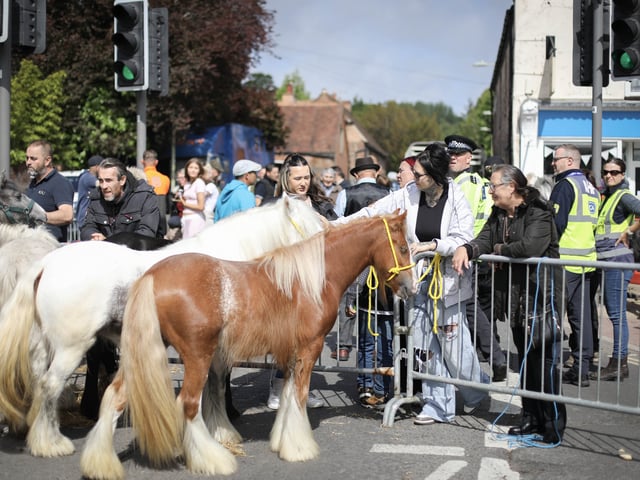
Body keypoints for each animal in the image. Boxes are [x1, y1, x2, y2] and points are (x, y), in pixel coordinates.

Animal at [0, 196, 326, 458]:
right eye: (311, 229)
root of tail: (46, 263)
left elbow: (212, 388)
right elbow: (218, 387)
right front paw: (223, 430)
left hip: (45, 345)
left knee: (38, 383)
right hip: (72, 346)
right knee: (50, 385)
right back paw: (51, 444)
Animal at [80, 213, 415, 479]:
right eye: (402, 247)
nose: (410, 288)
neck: (313, 279)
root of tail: (151, 276)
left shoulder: (289, 353)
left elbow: (288, 395)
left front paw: (283, 441)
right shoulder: (310, 348)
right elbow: (299, 396)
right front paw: (300, 448)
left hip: (147, 351)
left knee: (114, 396)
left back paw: (100, 464)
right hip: (197, 356)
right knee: (188, 404)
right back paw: (213, 460)